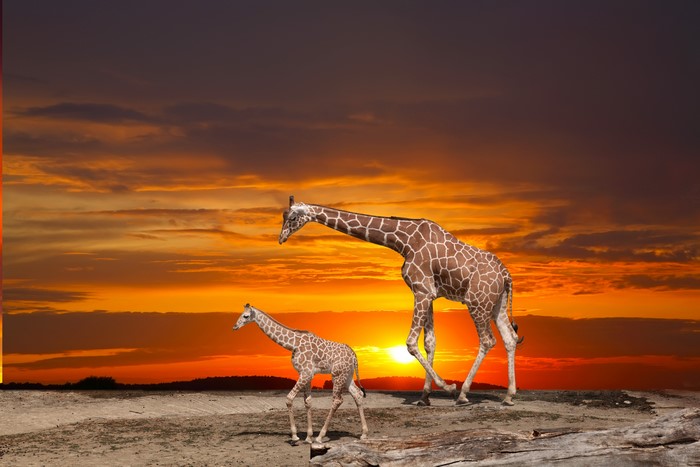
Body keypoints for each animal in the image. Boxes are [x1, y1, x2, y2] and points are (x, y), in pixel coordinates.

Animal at [232, 303, 369, 444]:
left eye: (245, 316)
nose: (235, 326)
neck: (293, 344)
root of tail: (354, 355)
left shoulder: (306, 373)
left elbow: (289, 398)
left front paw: (295, 436)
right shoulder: (307, 374)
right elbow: (307, 402)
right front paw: (308, 437)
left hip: (337, 375)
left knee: (337, 400)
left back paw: (320, 437)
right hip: (347, 375)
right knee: (357, 394)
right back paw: (363, 434)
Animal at [279, 196, 523, 406]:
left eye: (293, 217)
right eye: (284, 216)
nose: (281, 238)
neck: (403, 241)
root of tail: (506, 275)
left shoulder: (422, 290)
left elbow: (411, 343)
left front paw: (448, 387)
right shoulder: (428, 293)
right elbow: (430, 342)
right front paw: (424, 396)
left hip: (477, 302)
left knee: (488, 340)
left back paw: (463, 394)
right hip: (497, 303)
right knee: (510, 338)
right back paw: (509, 396)